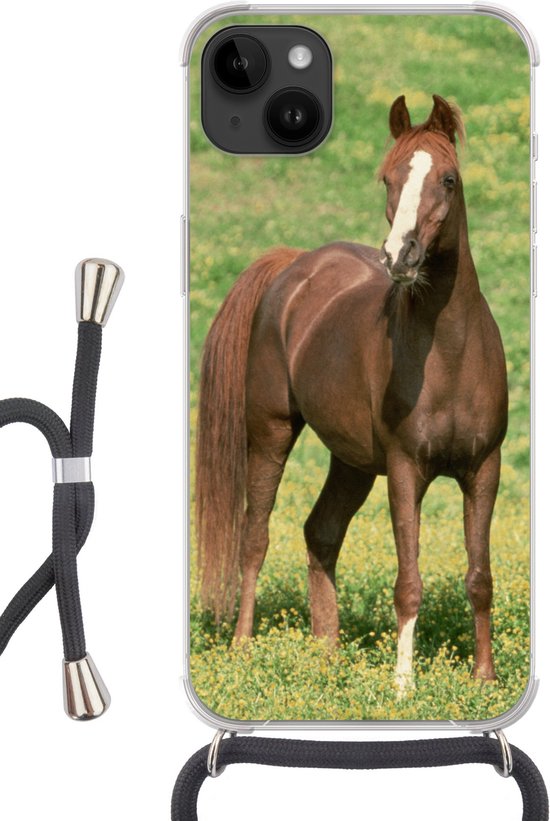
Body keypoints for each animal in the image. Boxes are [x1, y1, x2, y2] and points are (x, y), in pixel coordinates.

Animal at [196, 94, 508, 691]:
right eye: (388, 178)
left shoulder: (484, 468)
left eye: (450, 179)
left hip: (353, 461)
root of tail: (294, 265)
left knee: (321, 533)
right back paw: (243, 648)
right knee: (255, 537)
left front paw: (485, 679)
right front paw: (404, 686)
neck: (451, 355)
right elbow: (409, 581)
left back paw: (328, 657)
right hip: (270, 433)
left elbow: (479, 576)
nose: (400, 257)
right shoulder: (407, 470)